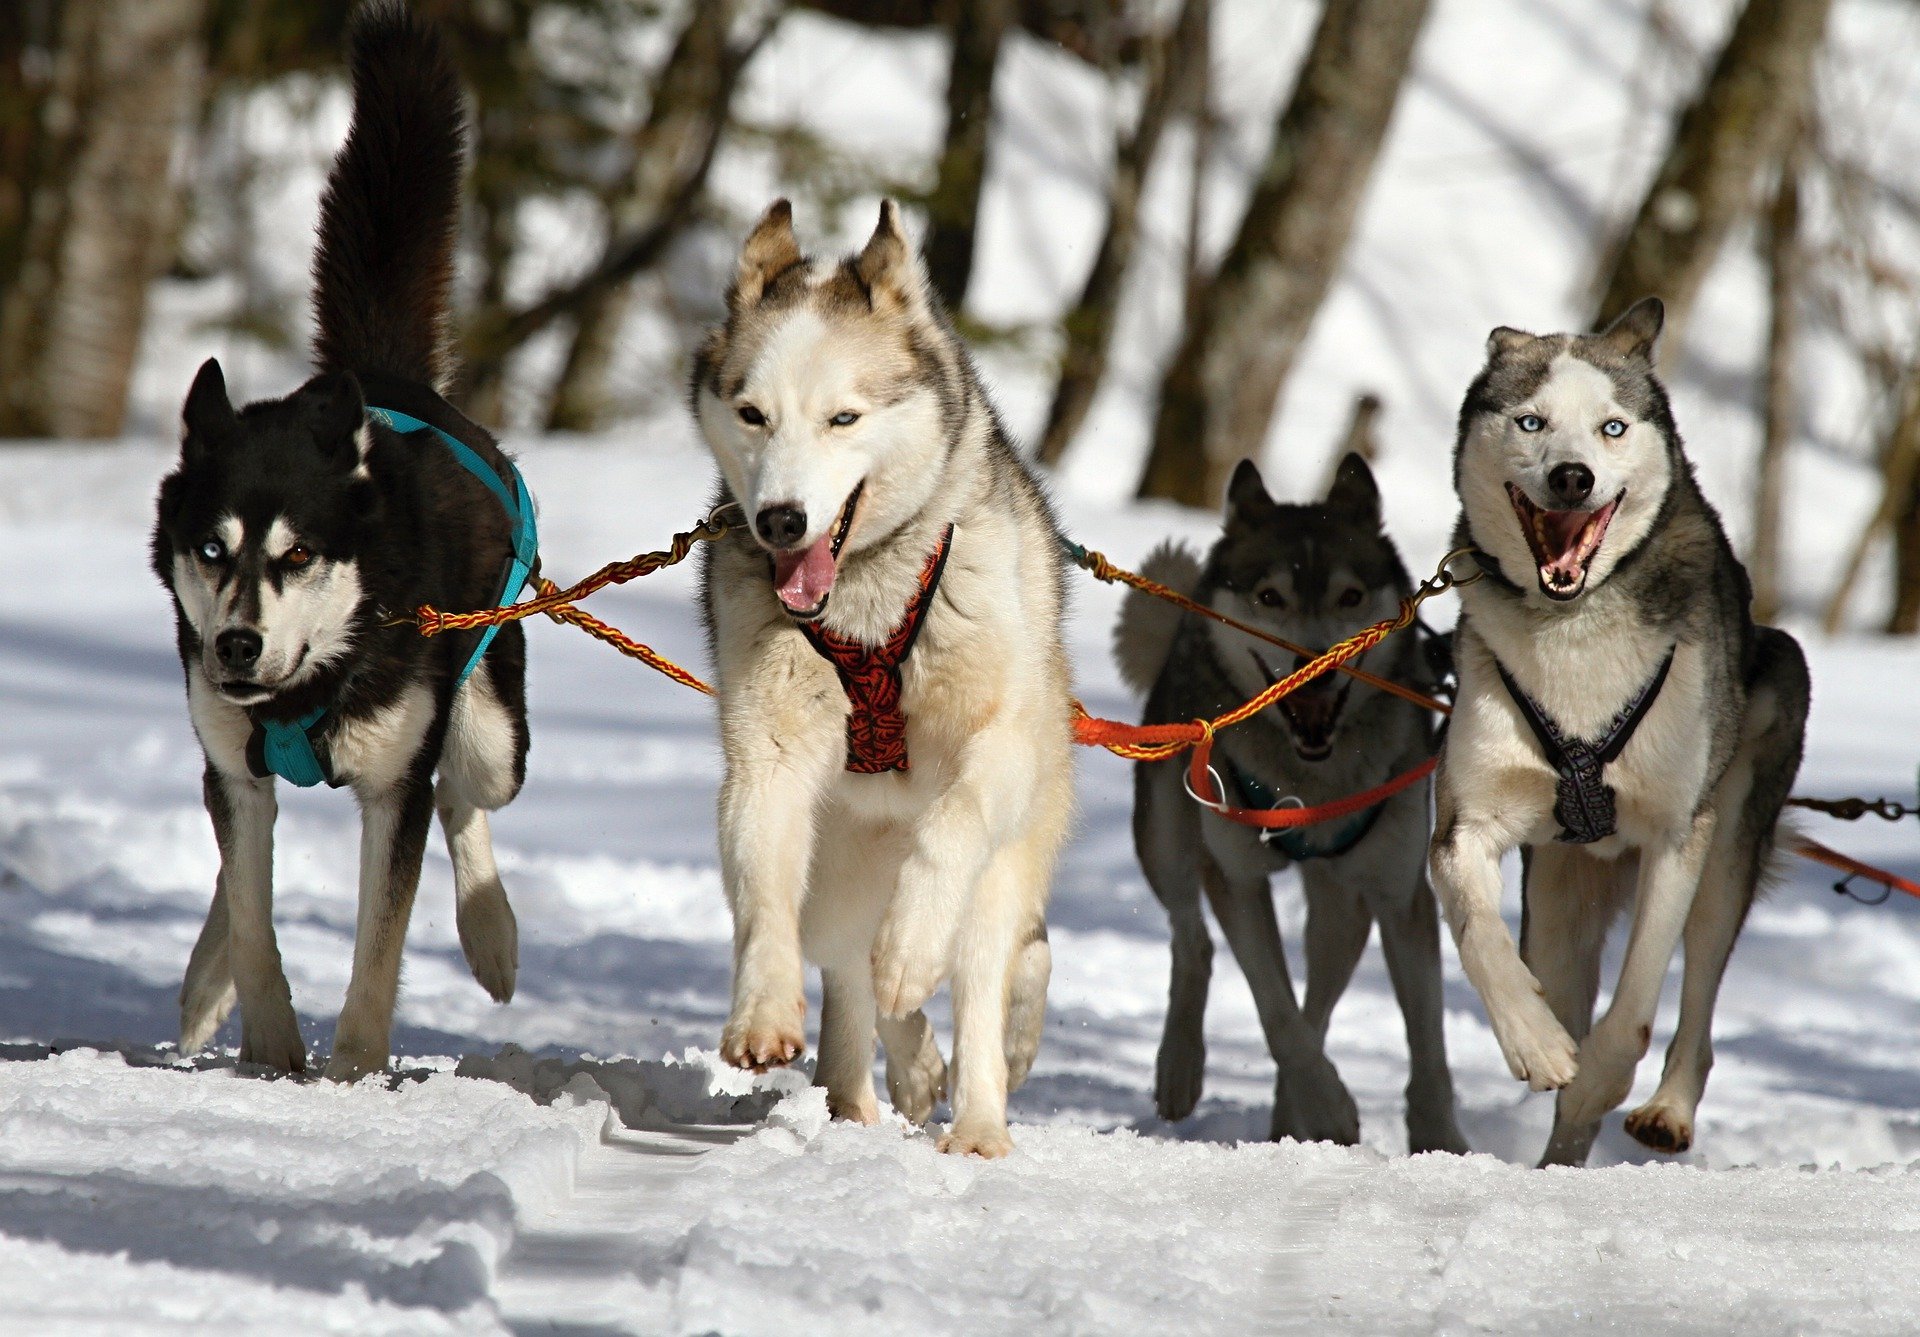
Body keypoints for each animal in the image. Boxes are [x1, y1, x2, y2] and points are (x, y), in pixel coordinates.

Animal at [151, 0, 533, 1083]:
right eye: (211, 549)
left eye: (297, 554)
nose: (237, 642)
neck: (309, 684)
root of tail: (384, 378)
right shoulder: (234, 760)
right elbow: (251, 910)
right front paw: (271, 1046)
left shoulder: (393, 785)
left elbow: (380, 944)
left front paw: (356, 1071)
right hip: (230, 750)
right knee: (236, 856)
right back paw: (205, 983)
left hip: (491, 725)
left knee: (465, 793)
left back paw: (491, 934)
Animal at [695, 198, 1082, 1160]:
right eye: (752, 413)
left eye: (844, 417)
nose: (780, 518)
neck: (866, 604)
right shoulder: (768, 756)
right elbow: (763, 893)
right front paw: (763, 1012)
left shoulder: (998, 748)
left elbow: (951, 827)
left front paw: (912, 946)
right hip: (835, 872)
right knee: (851, 972)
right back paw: (878, 1084)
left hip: (1006, 861)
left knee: (984, 968)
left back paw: (976, 1118)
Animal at [1121, 457, 1459, 1152]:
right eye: (1269, 597)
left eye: (1350, 597)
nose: (1316, 667)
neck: (1311, 780)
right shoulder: (1237, 878)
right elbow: (1276, 1012)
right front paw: (1328, 1108)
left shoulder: (1399, 893)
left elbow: (1427, 1043)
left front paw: (1442, 1141)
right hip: (1166, 837)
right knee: (1192, 941)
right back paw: (1181, 1069)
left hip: (1344, 905)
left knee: (1320, 998)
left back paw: (1286, 1118)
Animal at [1428, 297, 1812, 1167]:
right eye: (1531, 421)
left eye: (1611, 427)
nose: (1573, 475)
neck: (1573, 630)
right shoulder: (1467, 822)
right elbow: (1478, 933)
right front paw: (1535, 1041)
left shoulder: (1676, 833)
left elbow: (1634, 1010)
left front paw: (1599, 1077)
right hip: (1557, 899)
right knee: (1561, 977)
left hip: (1729, 840)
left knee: (1697, 997)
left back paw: (1664, 1108)